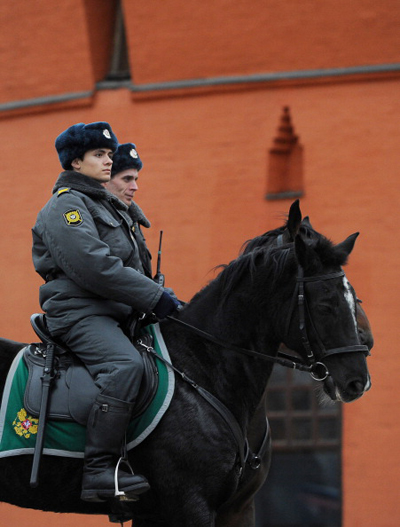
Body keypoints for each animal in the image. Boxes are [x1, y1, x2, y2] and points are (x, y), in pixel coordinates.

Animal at [0, 201, 372, 524]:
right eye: (326, 304)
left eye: (354, 295)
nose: (359, 379)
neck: (205, 370)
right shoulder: (189, 506)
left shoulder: (234, 509)